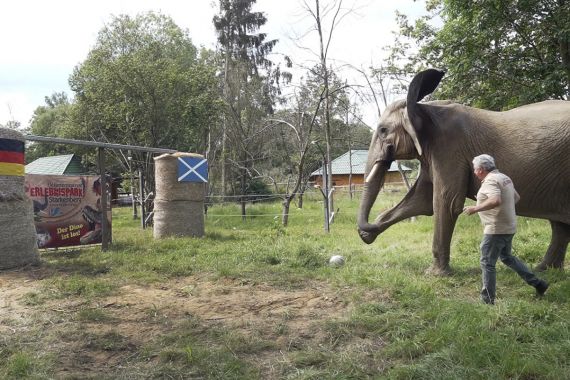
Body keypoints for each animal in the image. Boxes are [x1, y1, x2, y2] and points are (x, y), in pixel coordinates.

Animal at [358, 68, 564, 274]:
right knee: (560, 225)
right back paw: (545, 270)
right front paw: (370, 231)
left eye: (383, 130)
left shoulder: (449, 149)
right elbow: (421, 201)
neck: (422, 107)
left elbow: (445, 203)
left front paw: (434, 275)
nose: (366, 230)